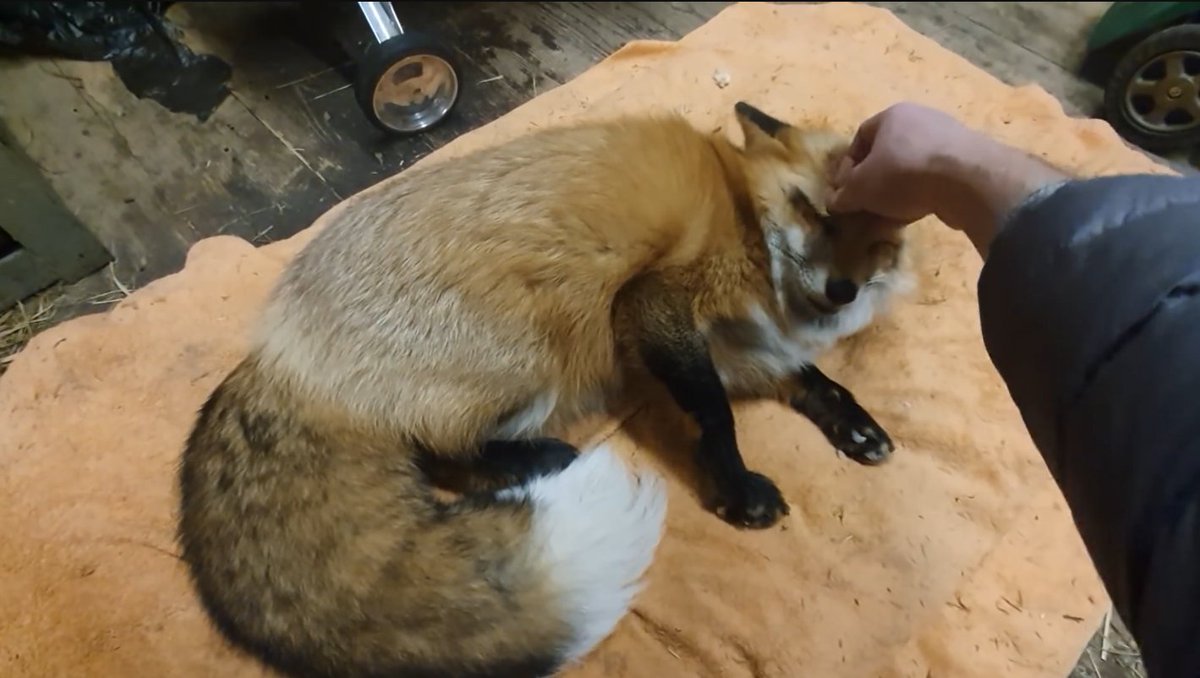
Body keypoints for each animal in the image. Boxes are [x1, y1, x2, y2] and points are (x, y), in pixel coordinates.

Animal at [176, 101, 915, 678]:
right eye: (816, 213)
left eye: (879, 243)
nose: (841, 291)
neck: (743, 218)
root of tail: (281, 351)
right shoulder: (650, 305)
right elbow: (713, 413)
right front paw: (735, 486)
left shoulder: (733, 340)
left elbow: (812, 380)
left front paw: (856, 426)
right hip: (540, 353)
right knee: (443, 453)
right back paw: (536, 460)